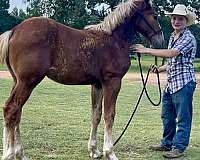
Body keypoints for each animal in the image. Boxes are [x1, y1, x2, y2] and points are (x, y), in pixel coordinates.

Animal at [0, 0, 164, 159]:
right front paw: (109, 152)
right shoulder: (113, 81)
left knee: (17, 112)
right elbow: (109, 115)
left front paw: (94, 151)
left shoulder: (97, 84)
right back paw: (9, 153)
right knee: (11, 109)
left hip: (17, 81)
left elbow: (96, 115)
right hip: (27, 82)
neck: (114, 40)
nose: (160, 40)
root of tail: (14, 31)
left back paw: (20, 153)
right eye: (155, 16)